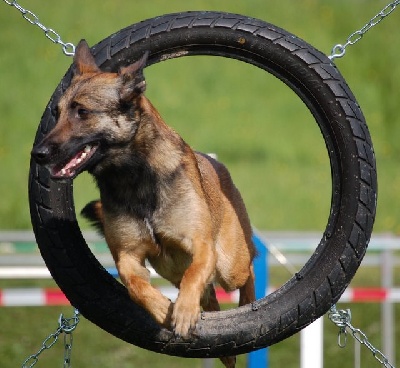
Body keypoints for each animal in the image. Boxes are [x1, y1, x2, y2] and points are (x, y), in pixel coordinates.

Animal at [31, 40, 256, 368]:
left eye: (82, 111)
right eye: (57, 113)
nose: (38, 153)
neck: (133, 174)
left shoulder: (201, 246)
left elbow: (194, 275)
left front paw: (183, 312)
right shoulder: (128, 256)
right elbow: (135, 286)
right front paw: (163, 308)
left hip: (229, 263)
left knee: (246, 270)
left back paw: (245, 304)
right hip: (171, 268)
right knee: (210, 297)